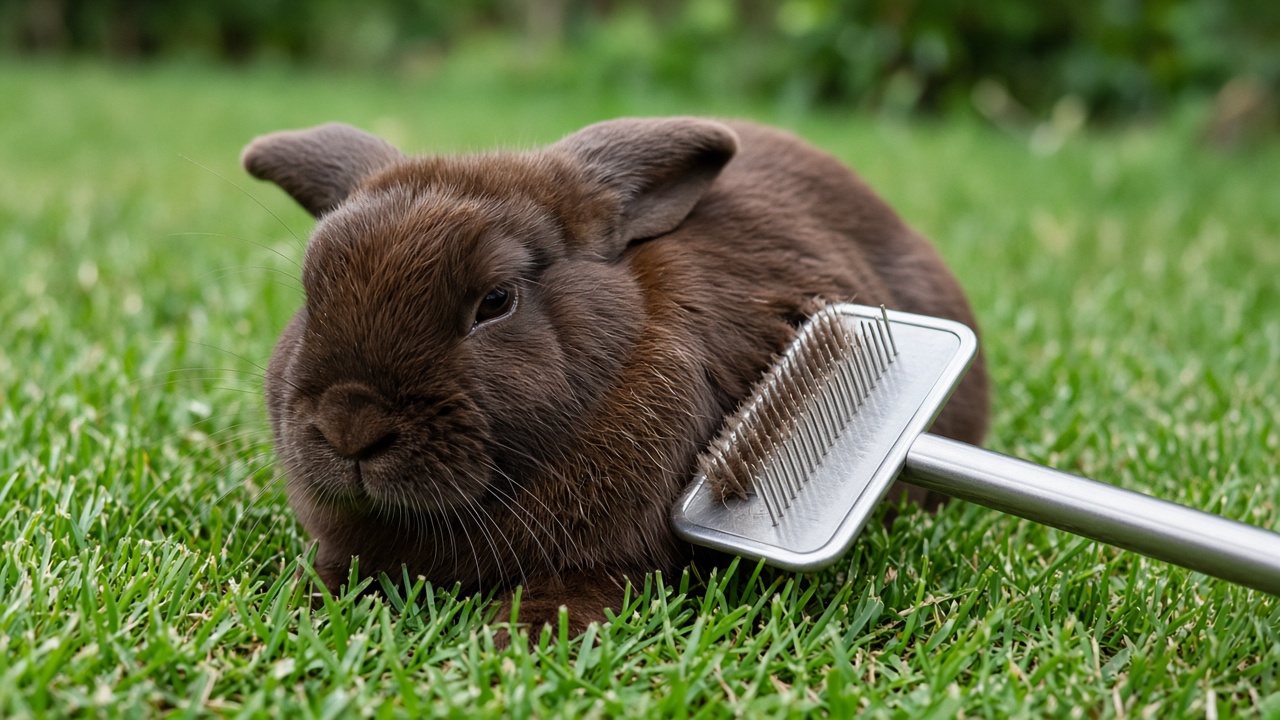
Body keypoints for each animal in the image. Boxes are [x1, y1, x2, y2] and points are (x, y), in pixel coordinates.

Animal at [242, 117, 989, 638]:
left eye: (496, 301)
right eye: (310, 293)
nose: (349, 426)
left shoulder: (618, 559)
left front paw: (518, 639)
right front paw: (304, 603)